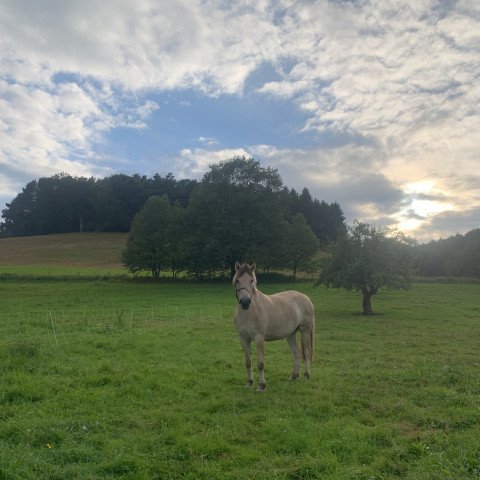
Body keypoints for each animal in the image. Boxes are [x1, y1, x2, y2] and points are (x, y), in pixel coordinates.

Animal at [232, 260, 316, 392]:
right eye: (238, 280)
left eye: (252, 280)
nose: (245, 302)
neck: (250, 312)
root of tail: (305, 297)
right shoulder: (243, 339)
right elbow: (248, 362)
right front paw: (249, 383)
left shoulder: (259, 338)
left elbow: (260, 364)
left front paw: (261, 385)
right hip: (290, 334)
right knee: (296, 353)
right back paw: (294, 376)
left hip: (305, 331)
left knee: (307, 352)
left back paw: (306, 375)